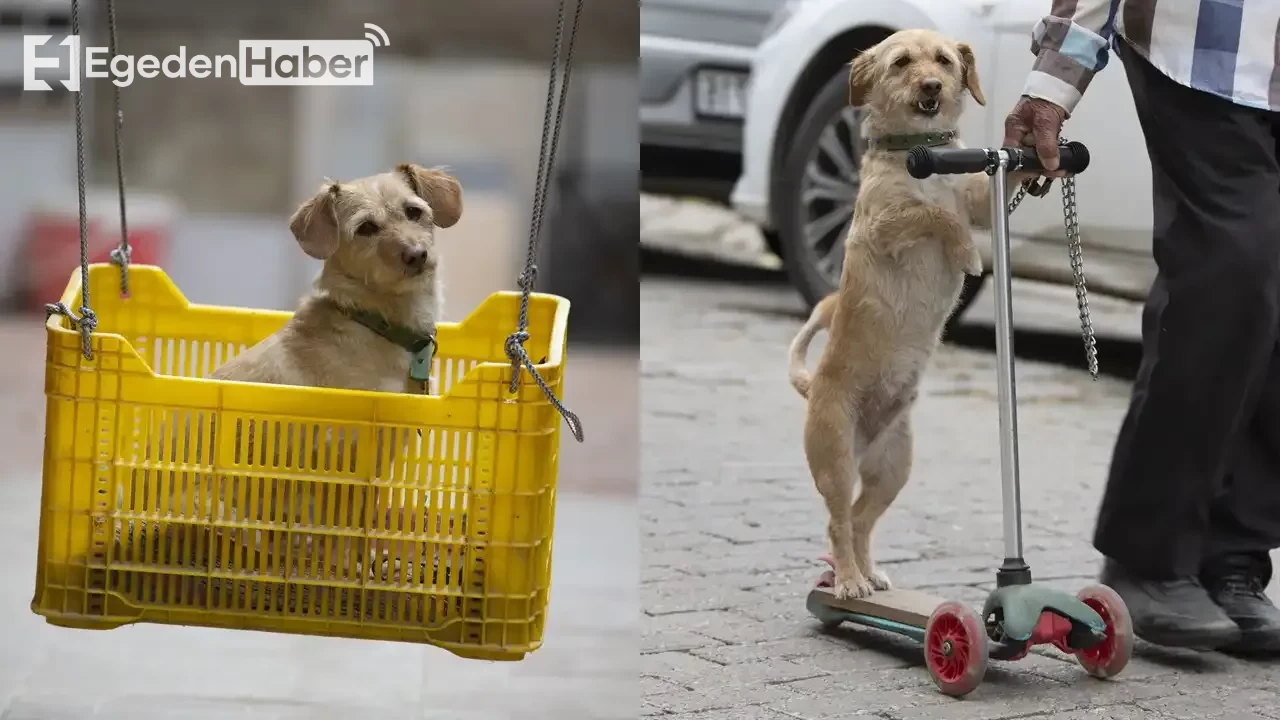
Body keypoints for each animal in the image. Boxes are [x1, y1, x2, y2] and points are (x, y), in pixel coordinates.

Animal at [783, 29, 1013, 599]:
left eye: (945, 62)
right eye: (902, 63)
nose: (931, 86)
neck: (921, 154)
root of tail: (812, 387)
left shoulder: (980, 203)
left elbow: (973, 202)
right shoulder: (887, 224)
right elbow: (936, 216)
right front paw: (968, 254)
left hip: (893, 466)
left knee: (862, 520)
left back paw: (869, 572)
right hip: (836, 460)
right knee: (838, 521)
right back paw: (848, 581)